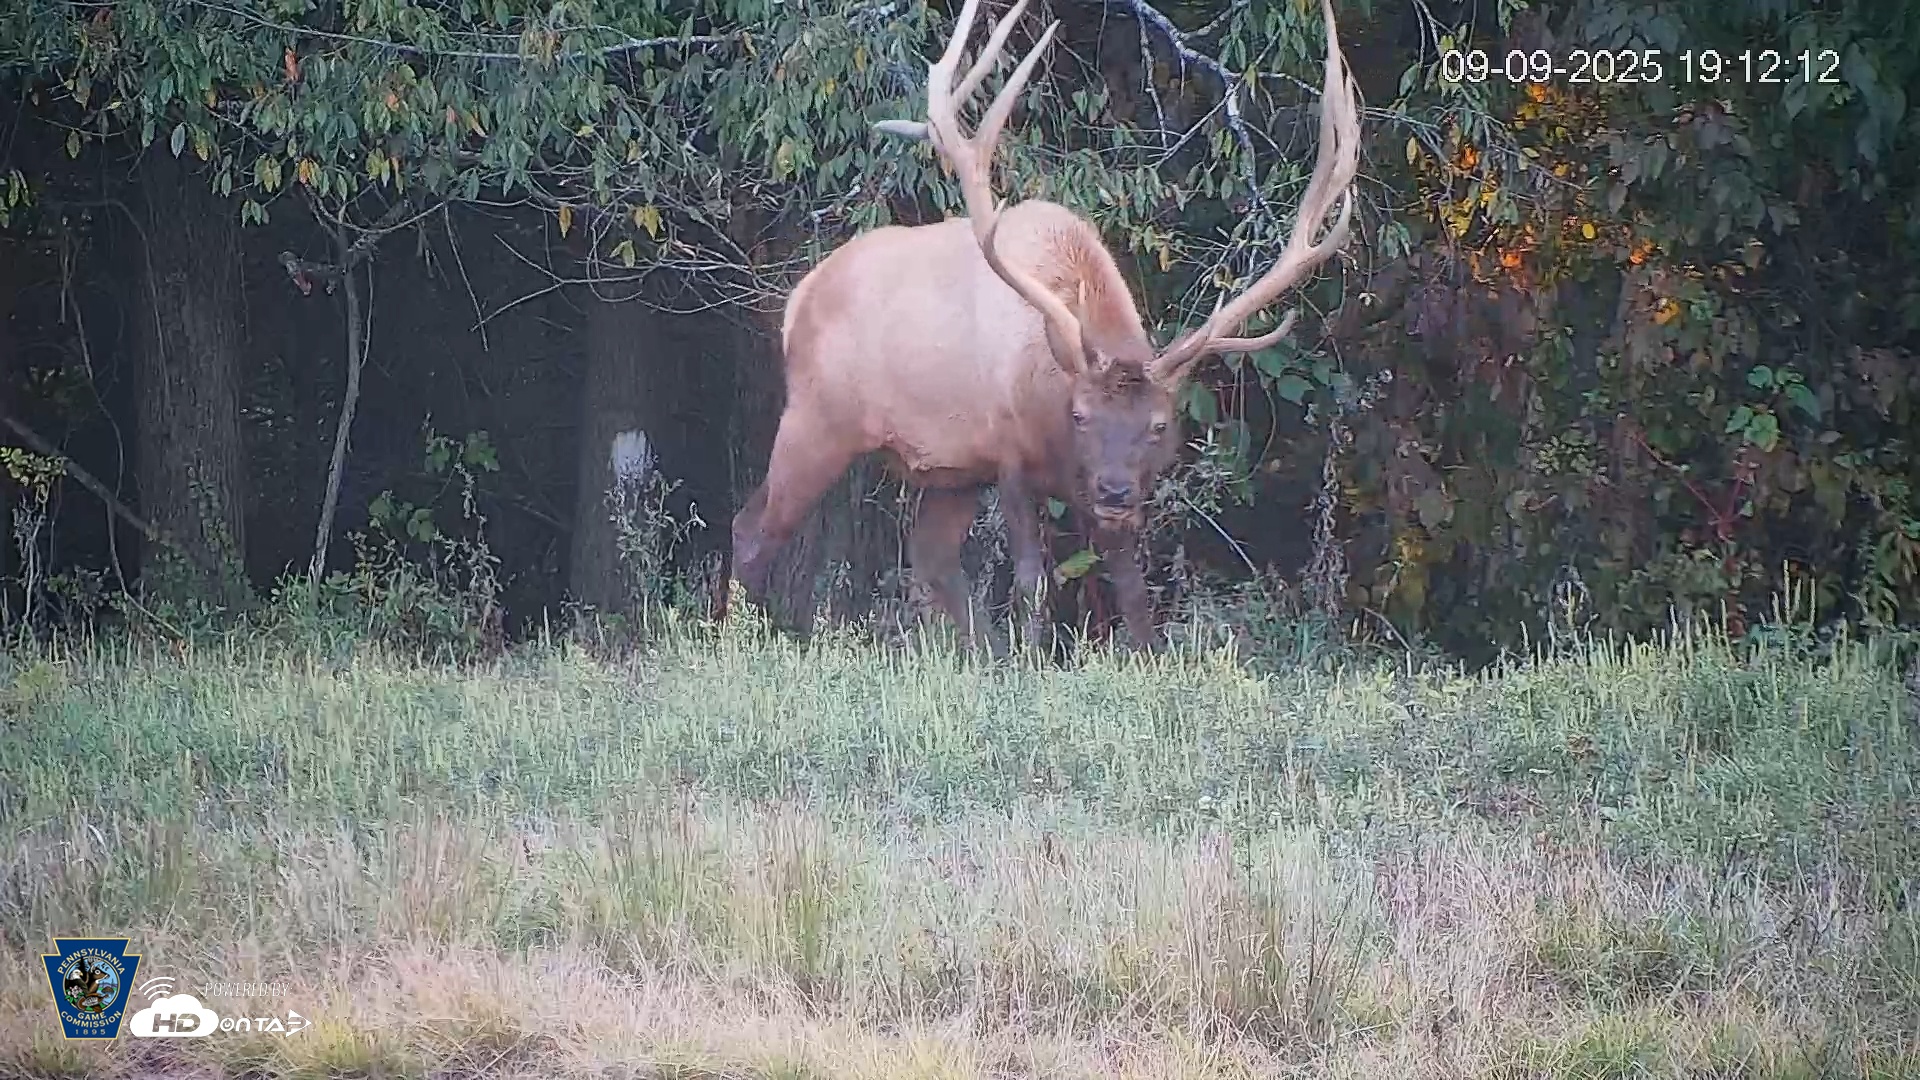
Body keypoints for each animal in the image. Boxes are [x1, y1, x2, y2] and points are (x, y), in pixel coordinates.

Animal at [721, 0, 1361, 656]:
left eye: (1159, 425)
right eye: (1080, 414)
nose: (1113, 491)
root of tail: (800, 297)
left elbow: (1132, 588)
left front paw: (1139, 653)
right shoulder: (1006, 454)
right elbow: (1032, 579)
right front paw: (1033, 657)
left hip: (946, 469)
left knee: (929, 560)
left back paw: (978, 652)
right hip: (817, 416)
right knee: (754, 527)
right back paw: (738, 639)